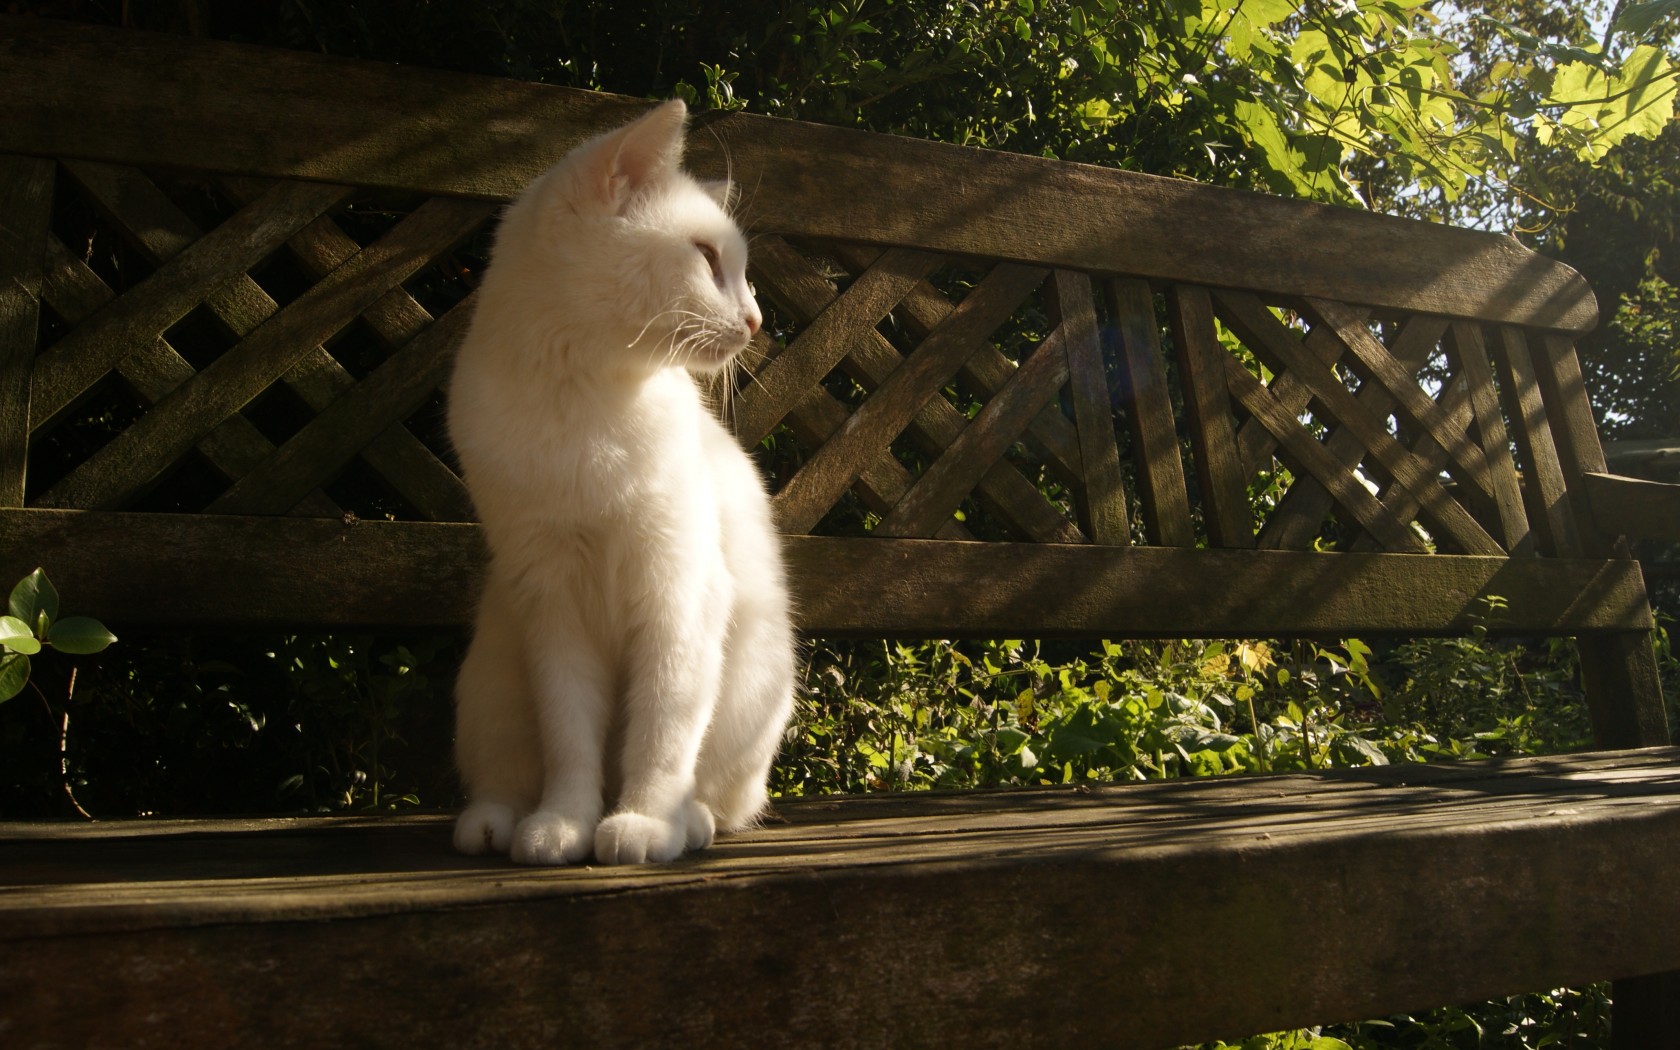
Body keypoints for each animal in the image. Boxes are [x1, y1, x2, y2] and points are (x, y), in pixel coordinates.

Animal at [443, 102, 789, 866]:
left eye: (740, 270)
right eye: (708, 258)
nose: (756, 321)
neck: (580, 402)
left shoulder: (677, 596)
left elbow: (661, 736)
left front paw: (641, 825)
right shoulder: (551, 604)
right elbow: (570, 741)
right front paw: (563, 826)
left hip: (751, 688)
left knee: (720, 794)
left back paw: (690, 823)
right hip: (494, 673)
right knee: (505, 774)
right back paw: (495, 824)